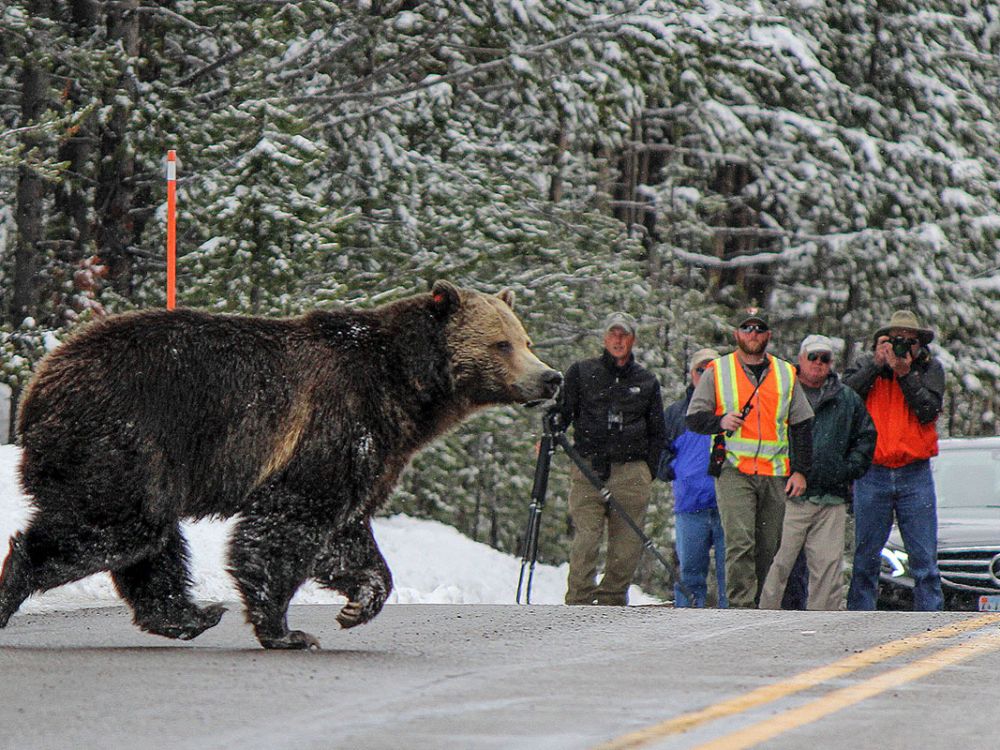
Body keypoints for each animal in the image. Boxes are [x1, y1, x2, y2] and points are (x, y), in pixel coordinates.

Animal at [0, 280, 561, 649]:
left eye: (526, 340)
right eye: (502, 343)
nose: (550, 377)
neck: (405, 390)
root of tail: (36, 388)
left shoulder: (374, 452)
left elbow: (347, 534)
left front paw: (358, 603)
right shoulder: (337, 424)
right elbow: (288, 524)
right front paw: (287, 630)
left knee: (152, 542)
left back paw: (191, 614)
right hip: (122, 441)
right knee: (112, 529)